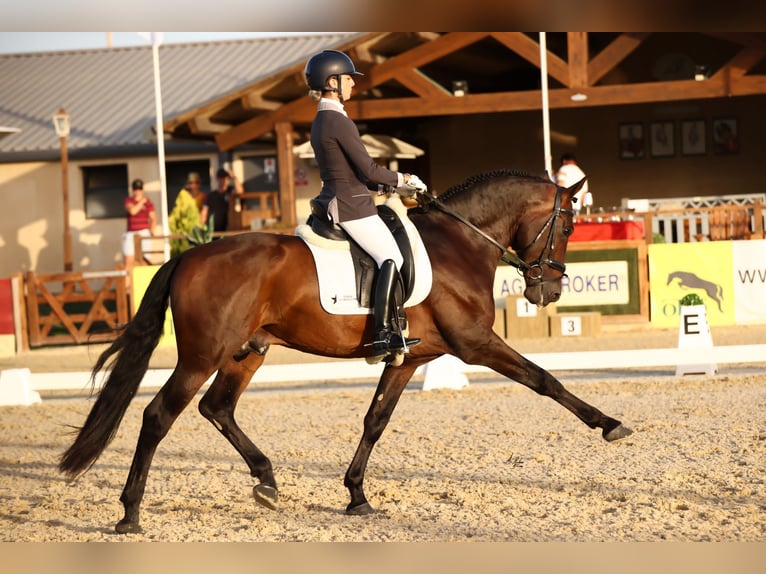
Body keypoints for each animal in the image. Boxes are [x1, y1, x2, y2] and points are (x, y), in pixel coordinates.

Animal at [59, 169, 632, 534]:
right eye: (569, 225)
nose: (548, 293)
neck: (460, 243)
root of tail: (189, 255)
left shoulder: (411, 358)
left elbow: (374, 420)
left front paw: (357, 495)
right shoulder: (476, 345)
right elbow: (545, 379)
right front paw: (610, 424)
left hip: (247, 352)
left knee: (217, 407)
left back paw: (266, 481)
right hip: (202, 356)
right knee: (158, 416)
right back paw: (130, 513)